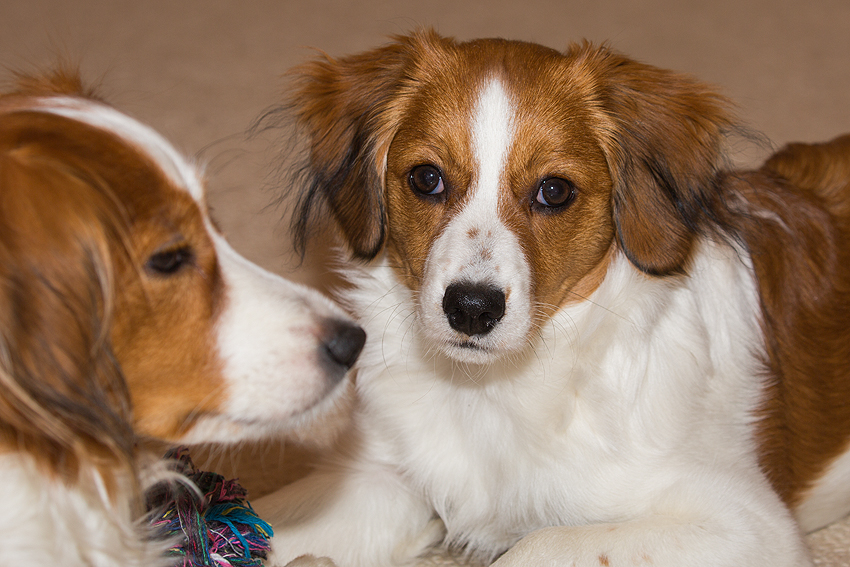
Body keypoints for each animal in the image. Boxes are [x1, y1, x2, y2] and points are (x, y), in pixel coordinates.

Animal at [256, 31, 848, 567]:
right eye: (426, 178)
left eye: (555, 191)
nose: (472, 309)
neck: (492, 393)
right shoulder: (381, 481)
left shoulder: (748, 524)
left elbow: (538, 544)